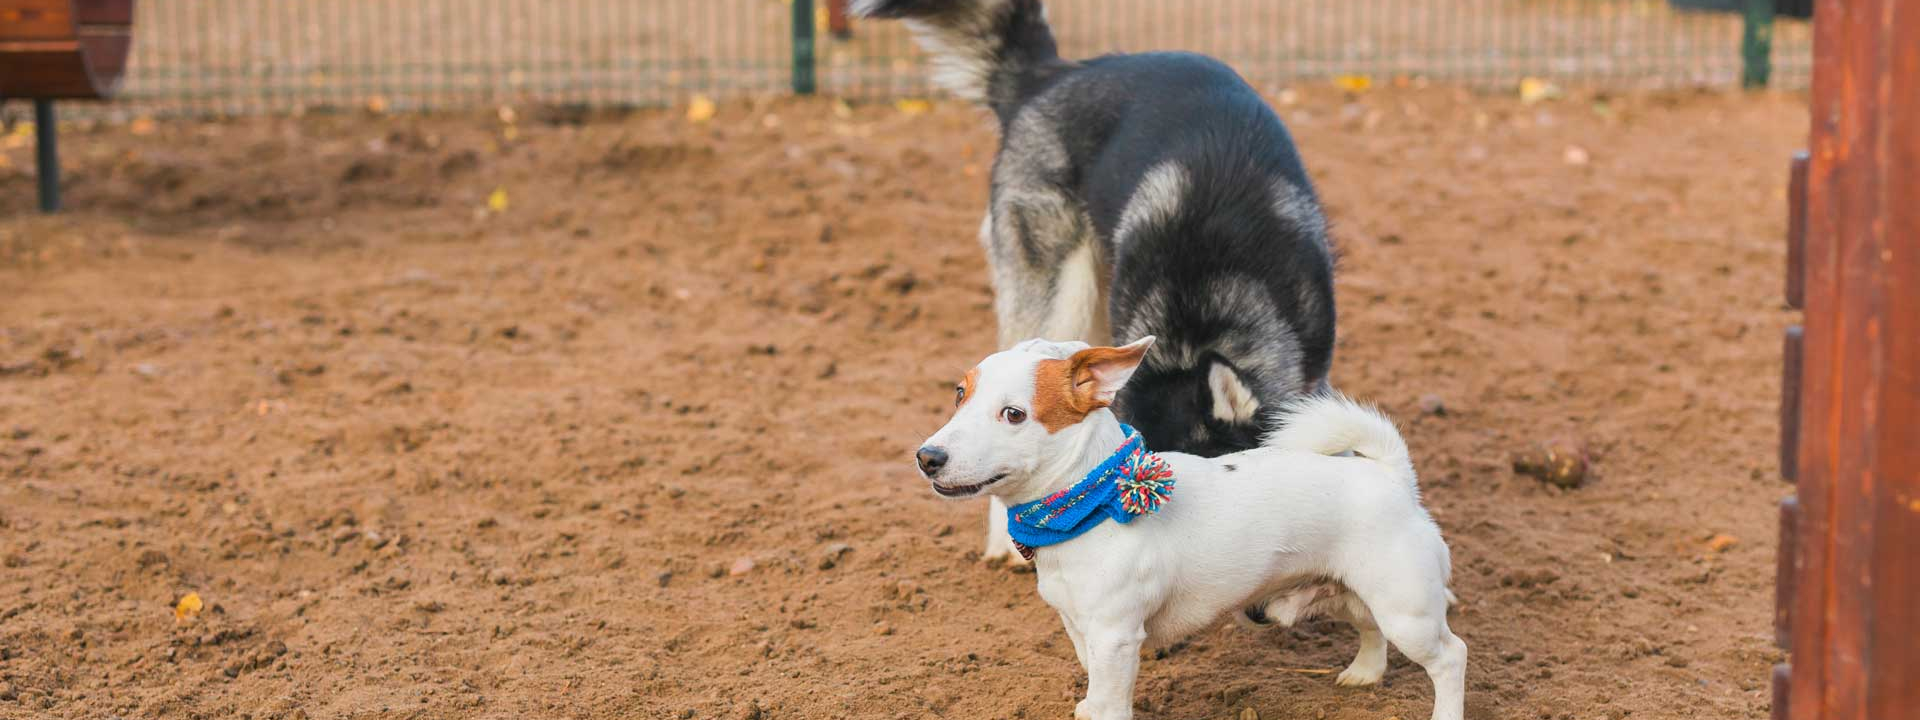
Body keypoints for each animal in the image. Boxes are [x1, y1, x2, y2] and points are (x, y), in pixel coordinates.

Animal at [913, 337, 1466, 720]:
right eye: (959, 394)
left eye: (1014, 414)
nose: (927, 457)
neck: (1087, 504)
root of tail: (1391, 475)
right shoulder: (1079, 626)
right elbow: (1094, 686)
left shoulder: (1116, 636)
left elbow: (1111, 702)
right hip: (1356, 591)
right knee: (1370, 628)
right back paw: (1364, 675)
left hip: (1408, 611)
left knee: (1451, 657)